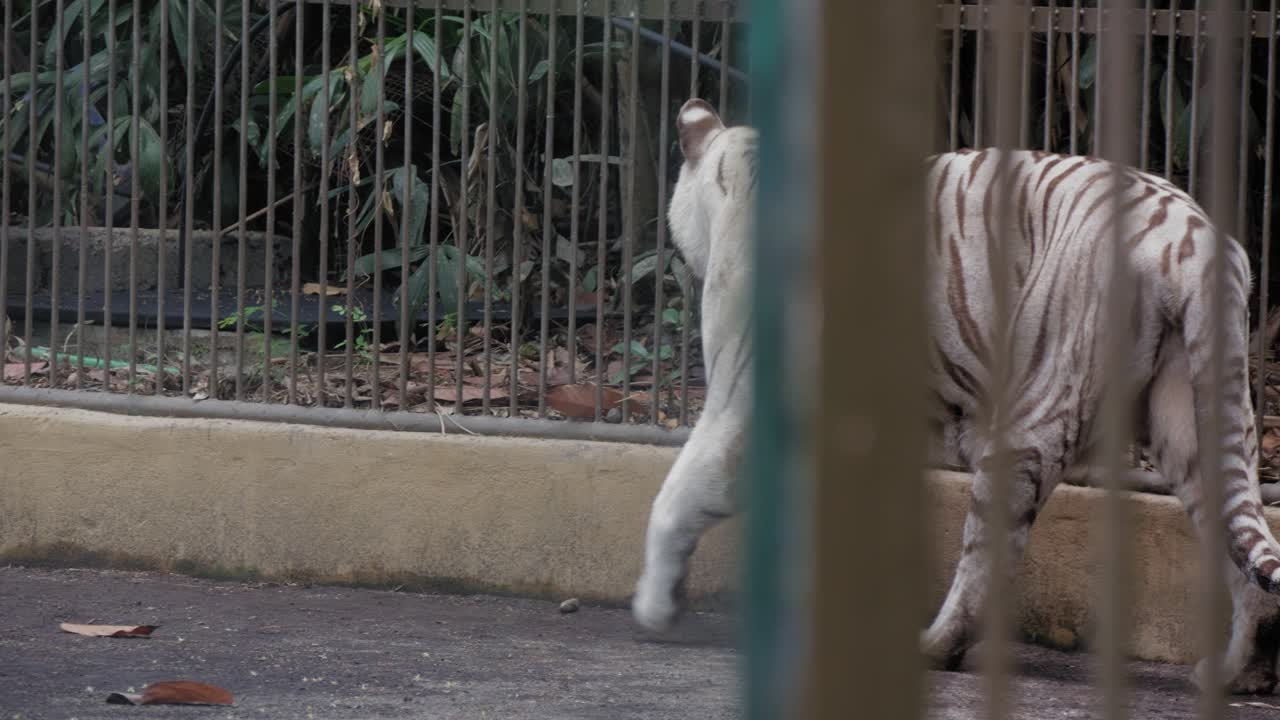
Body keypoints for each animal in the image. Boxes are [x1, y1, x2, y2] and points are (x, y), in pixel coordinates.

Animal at [631, 97, 1280, 695]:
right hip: (1194, 422)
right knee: (1242, 544)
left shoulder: (740, 407)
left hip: (1032, 419)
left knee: (989, 558)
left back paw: (936, 645)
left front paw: (655, 608)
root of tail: (1191, 238)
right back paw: (1232, 673)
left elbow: (677, 497)